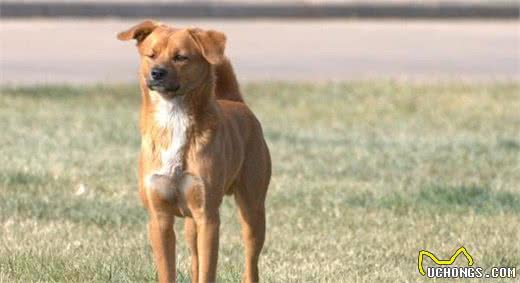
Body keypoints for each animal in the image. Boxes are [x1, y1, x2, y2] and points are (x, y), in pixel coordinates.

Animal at [118, 20, 272, 283]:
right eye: (151, 55)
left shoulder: (208, 217)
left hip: (252, 210)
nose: (156, 73)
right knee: (194, 260)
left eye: (181, 57)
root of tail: (238, 103)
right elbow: (168, 270)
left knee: (251, 261)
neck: (174, 117)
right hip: (191, 225)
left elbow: (208, 271)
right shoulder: (159, 218)